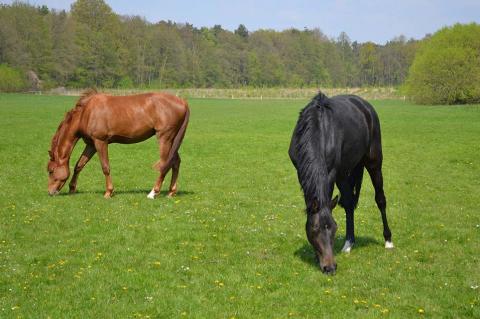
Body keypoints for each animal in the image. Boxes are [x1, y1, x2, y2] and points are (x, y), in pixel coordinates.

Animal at [47, 90, 189, 199]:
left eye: (51, 170)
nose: (50, 192)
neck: (86, 113)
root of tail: (183, 102)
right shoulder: (91, 145)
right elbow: (79, 165)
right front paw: (72, 188)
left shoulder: (100, 142)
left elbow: (105, 167)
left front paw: (108, 192)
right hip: (173, 141)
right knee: (175, 162)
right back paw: (171, 192)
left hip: (165, 139)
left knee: (165, 164)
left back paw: (153, 193)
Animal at [288, 92, 394, 276]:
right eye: (314, 229)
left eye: (334, 228)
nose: (330, 267)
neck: (318, 129)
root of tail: (364, 105)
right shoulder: (301, 172)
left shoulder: (330, 173)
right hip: (345, 172)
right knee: (349, 203)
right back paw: (349, 243)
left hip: (373, 161)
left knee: (380, 199)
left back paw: (387, 240)